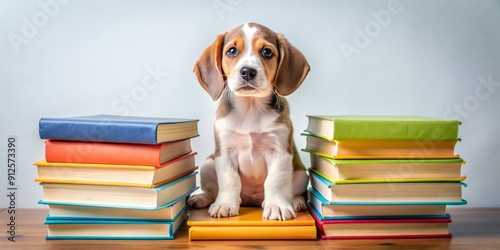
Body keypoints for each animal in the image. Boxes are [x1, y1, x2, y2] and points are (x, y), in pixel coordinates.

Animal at [188, 22, 308, 220]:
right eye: (232, 51)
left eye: (267, 52)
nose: (247, 71)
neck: (250, 109)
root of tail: (252, 200)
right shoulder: (225, 152)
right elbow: (229, 180)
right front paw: (225, 204)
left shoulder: (279, 152)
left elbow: (275, 181)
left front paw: (277, 206)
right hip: (208, 164)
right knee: (212, 191)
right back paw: (201, 198)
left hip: (300, 174)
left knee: (293, 191)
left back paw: (295, 202)